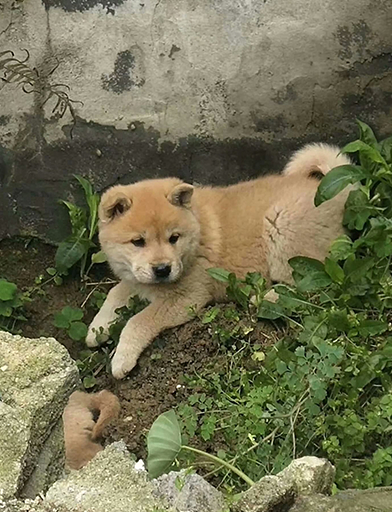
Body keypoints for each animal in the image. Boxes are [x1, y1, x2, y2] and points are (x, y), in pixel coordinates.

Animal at [86, 142, 352, 378]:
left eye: (173, 238)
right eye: (138, 242)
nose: (162, 269)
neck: (196, 236)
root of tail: (338, 195)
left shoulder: (187, 297)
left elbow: (138, 320)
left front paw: (121, 358)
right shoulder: (137, 278)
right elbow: (116, 293)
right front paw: (97, 328)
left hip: (283, 229)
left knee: (312, 286)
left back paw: (263, 297)